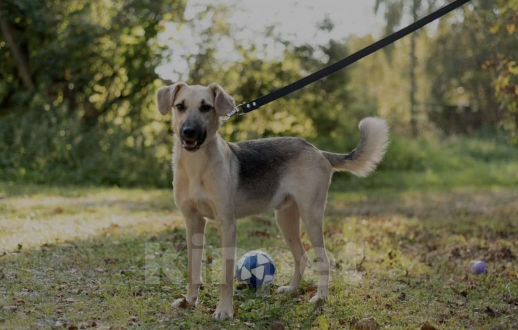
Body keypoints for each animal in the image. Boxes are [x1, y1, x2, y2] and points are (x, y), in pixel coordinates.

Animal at [157, 82, 390, 320]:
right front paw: (189, 301)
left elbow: (226, 275)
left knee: (323, 260)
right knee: (301, 257)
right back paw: (292, 289)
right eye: (180, 106)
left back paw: (320, 298)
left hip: (311, 217)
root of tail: (317, 150)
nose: (189, 132)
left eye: (206, 107)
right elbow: (192, 270)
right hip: (285, 219)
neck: (196, 166)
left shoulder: (227, 224)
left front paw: (224, 310)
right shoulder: (193, 222)